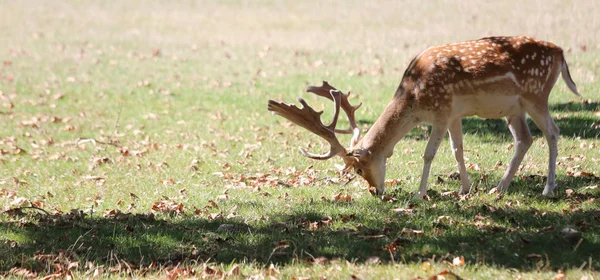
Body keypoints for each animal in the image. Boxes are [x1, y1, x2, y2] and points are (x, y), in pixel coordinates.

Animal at [268, 36, 576, 199]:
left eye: (357, 169)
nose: (375, 191)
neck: (414, 97)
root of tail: (561, 53)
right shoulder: (453, 114)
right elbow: (457, 150)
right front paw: (465, 188)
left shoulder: (441, 111)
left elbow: (429, 154)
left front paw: (421, 192)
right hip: (514, 109)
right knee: (525, 139)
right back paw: (499, 187)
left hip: (537, 95)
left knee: (552, 132)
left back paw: (548, 188)